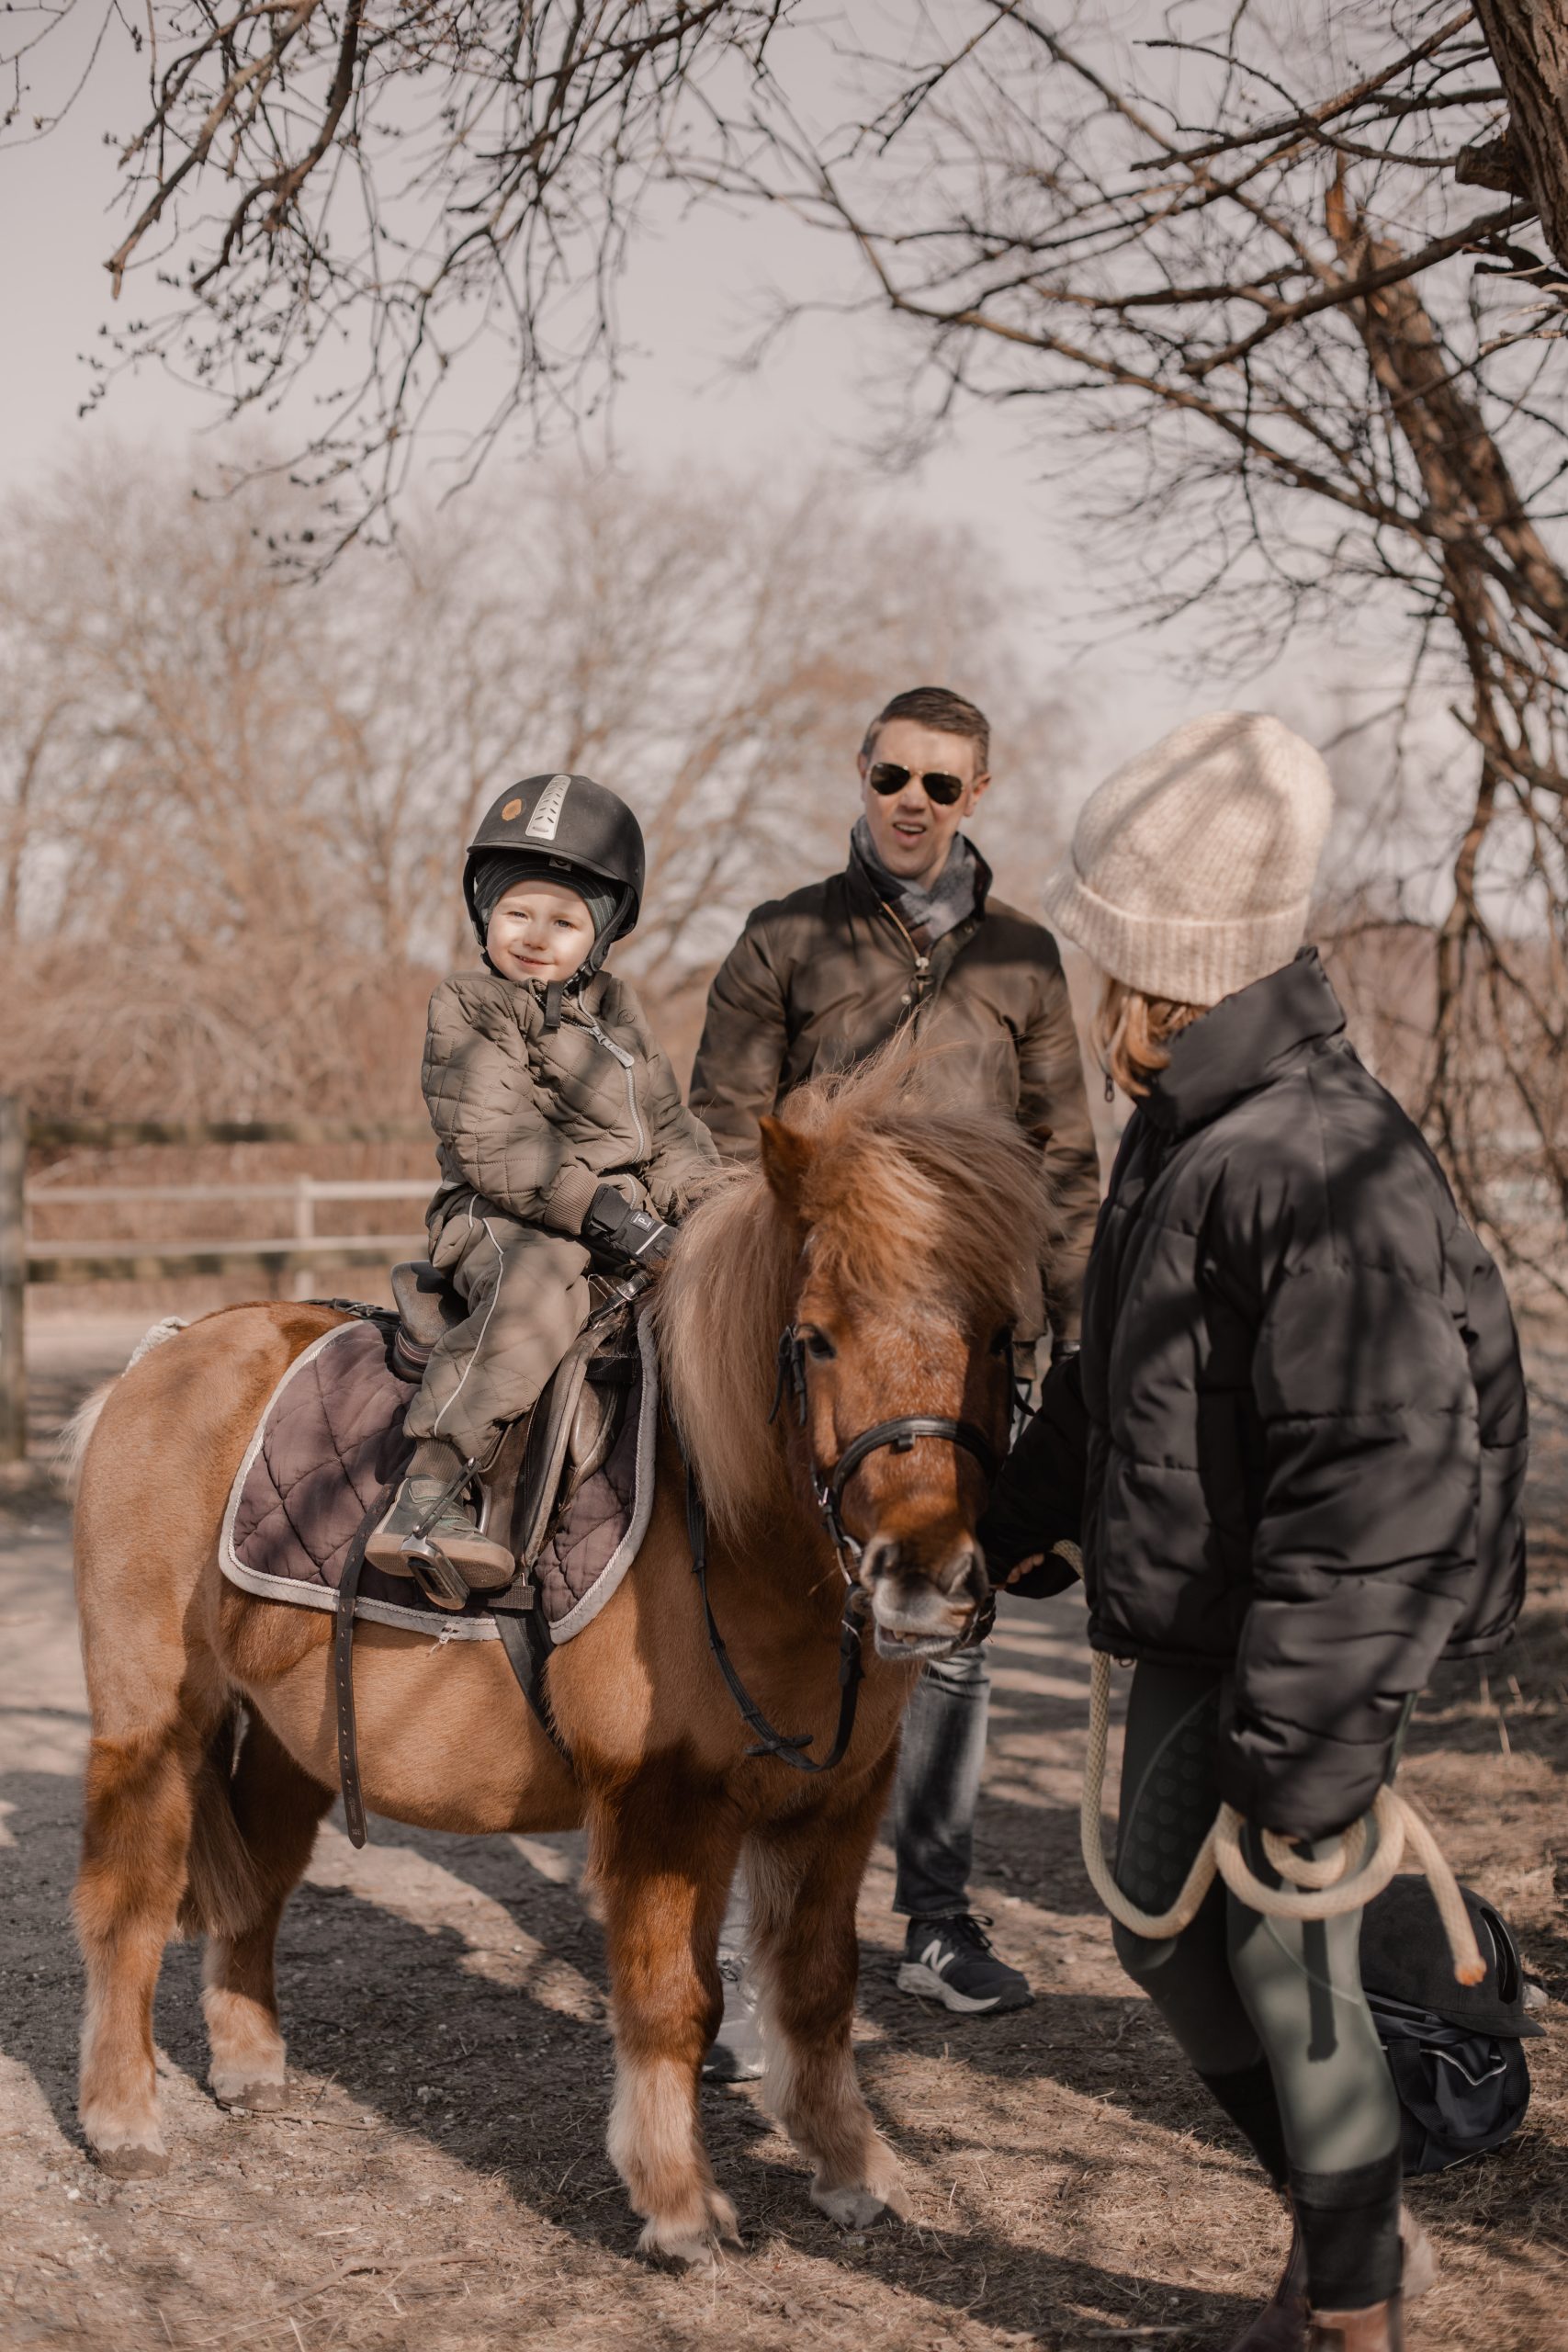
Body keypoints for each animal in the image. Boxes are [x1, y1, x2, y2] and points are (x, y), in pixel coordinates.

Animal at [67, 1058, 1048, 2267]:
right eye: (816, 1337)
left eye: (999, 1336)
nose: (922, 1581)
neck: (730, 1521)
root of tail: (161, 1355)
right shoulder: (664, 1804)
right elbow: (674, 2005)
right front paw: (679, 2204)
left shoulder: (837, 1801)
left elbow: (821, 1990)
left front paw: (850, 2169)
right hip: (150, 1717)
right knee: (128, 1897)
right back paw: (123, 2115)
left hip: (294, 1741)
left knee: (259, 1879)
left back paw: (249, 2064)